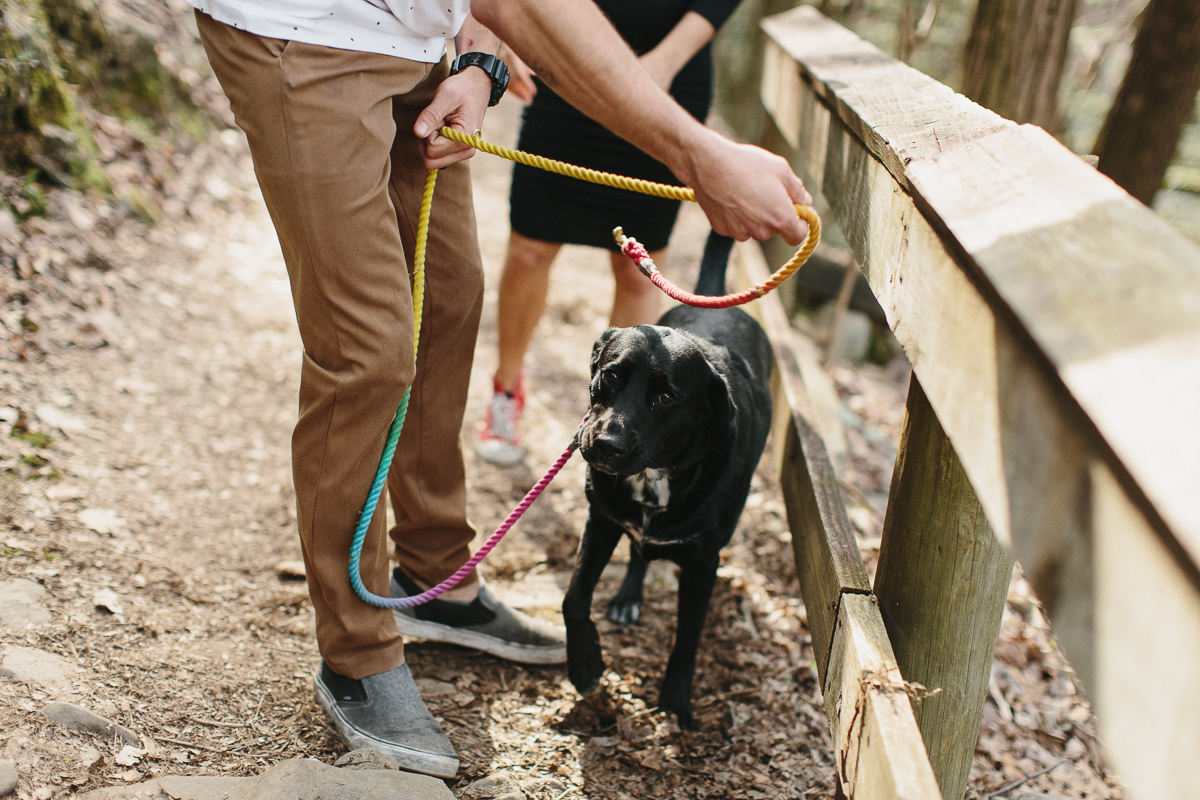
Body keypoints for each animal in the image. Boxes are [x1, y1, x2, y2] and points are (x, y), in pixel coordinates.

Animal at [564, 231, 772, 724]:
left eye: (665, 397)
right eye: (610, 376)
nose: (605, 445)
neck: (657, 476)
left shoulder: (702, 562)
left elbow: (686, 641)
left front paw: (675, 701)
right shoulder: (601, 521)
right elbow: (574, 598)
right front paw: (585, 665)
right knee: (638, 554)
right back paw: (627, 599)